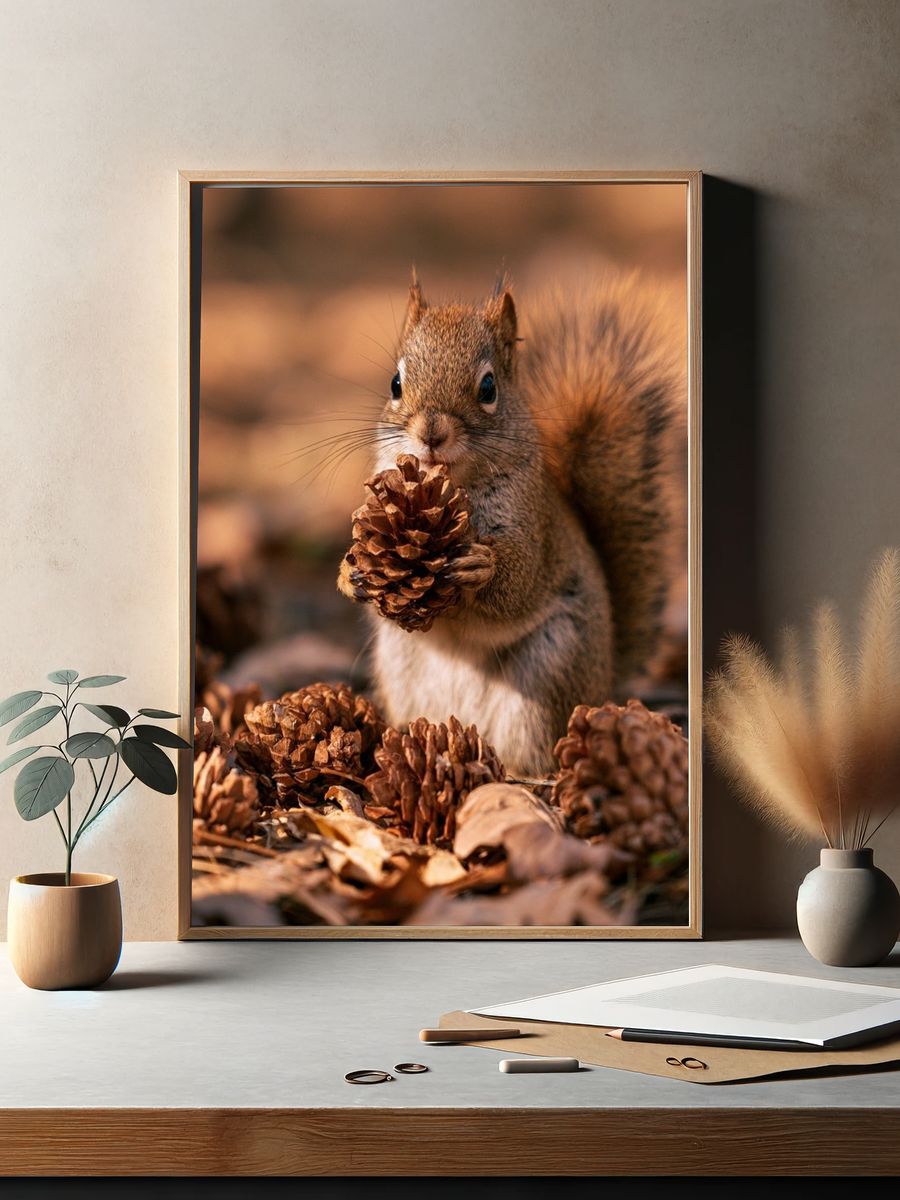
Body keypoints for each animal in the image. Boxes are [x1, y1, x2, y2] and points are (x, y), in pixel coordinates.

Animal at [343, 270, 684, 777]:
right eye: (395, 383)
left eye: (488, 389)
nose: (431, 433)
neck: (453, 485)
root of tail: (604, 682)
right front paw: (350, 574)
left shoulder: (534, 527)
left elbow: (520, 581)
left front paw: (480, 568)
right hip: (401, 663)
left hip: (549, 671)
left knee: (536, 752)